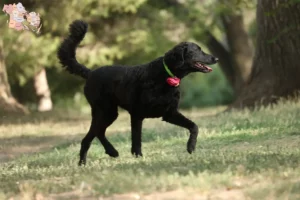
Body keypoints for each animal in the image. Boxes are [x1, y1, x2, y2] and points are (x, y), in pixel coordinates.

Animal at [58, 19, 218, 166]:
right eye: (197, 50)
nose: (216, 58)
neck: (165, 75)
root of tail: (90, 73)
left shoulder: (169, 113)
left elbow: (194, 126)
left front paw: (191, 146)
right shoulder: (137, 114)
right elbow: (136, 140)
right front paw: (138, 157)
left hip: (108, 113)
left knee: (98, 132)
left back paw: (104, 154)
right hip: (105, 111)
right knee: (91, 135)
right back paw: (92, 158)